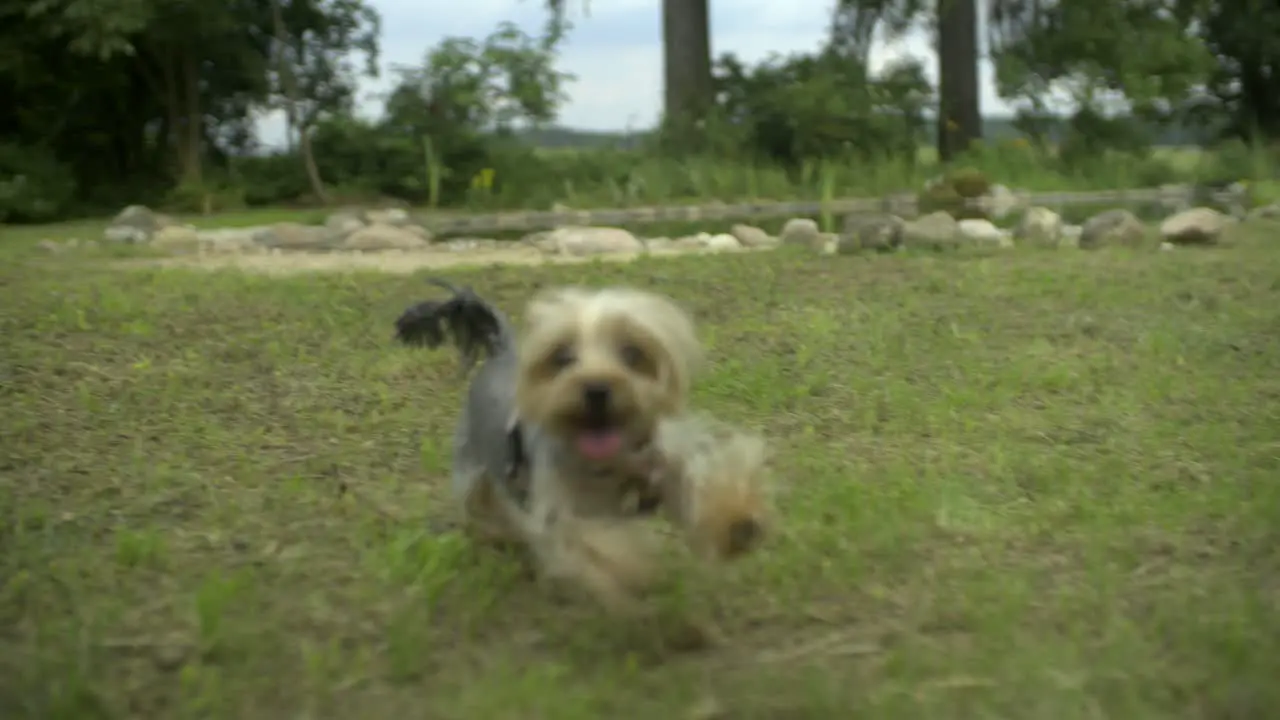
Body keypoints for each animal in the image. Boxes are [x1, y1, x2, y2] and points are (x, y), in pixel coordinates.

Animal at [389, 278, 768, 607]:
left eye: (633, 353)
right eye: (561, 357)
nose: (597, 387)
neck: (610, 465)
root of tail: (500, 352)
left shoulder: (658, 463)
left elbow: (697, 486)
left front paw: (736, 521)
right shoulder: (559, 508)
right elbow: (593, 542)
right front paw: (635, 573)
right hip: (473, 467)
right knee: (480, 504)